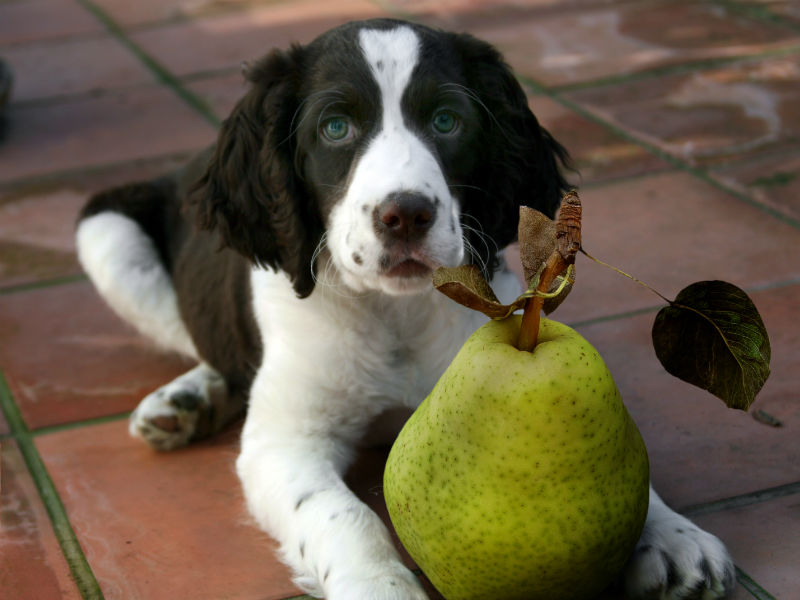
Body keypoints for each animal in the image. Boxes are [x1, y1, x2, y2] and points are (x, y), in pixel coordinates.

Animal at [76, 18, 736, 600]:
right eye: (335, 127)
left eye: (447, 120)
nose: (406, 216)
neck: (391, 314)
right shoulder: (285, 444)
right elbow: (343, 517)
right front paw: (379, 586)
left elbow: (626, 459)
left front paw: (671, 535)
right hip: (106, 234)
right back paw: (188, 397)